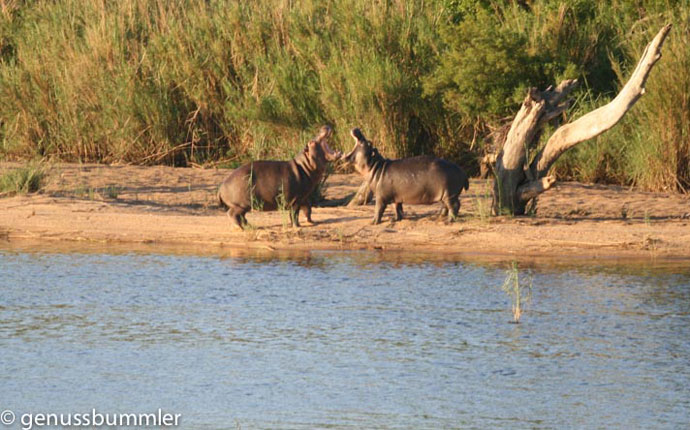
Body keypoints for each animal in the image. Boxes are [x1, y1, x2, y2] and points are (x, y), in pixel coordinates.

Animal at [342, 127, 470, 225]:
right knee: (445, 206)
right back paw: (438, 217)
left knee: (455, 206)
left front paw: (373, 222)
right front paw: (394, 219)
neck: (375, 166)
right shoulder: (395, 196)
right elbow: (397, 208)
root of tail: (463, 171)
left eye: (367, 142)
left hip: (450, 194)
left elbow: (378, 209)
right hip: (444, 194)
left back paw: (448, 221)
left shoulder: (380, 196)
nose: (357, 129)